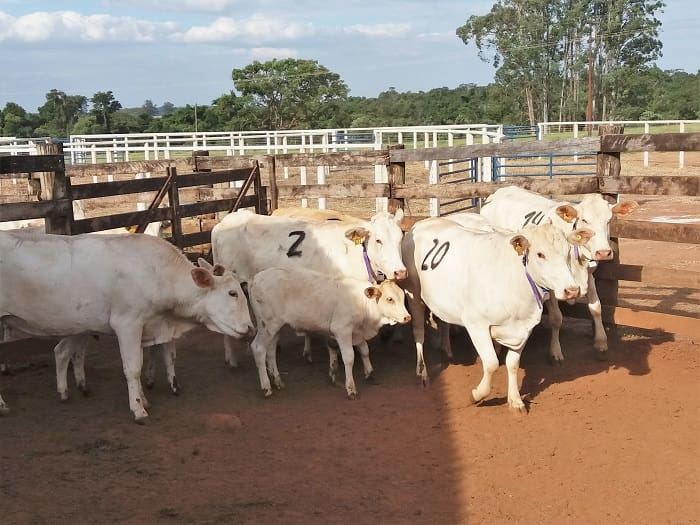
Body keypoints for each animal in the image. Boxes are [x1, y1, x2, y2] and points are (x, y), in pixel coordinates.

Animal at [0, 231, 255, 421]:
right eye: (232, 293)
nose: (251, 329)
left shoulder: (145, 326)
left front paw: (145, 399)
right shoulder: (127, 324)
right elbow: (132, 368)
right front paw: (138, 409)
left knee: (61, 352)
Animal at [210, 208, 407, 367]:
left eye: (400, 238)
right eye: (378, 240)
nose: (400, 272)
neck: (354, 253)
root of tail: (226, 221)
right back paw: (231, 359)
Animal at [248, 267, 411, 399]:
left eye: (403, 297)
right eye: (389, 299)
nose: (407, 317)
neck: (363, 303)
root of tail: (256, 278)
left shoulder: (356, 332)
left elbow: (364, 350)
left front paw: (369, 372)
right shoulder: (342, 330)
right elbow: (349, 358)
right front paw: (351, 388)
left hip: (275, 328)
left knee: (270, 351)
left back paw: (278, 381)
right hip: (267, 325)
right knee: (259, 349)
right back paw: (266, 387)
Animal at [402, 217, 592, 411]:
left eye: (568, 252)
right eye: (540, 254)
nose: (572, 290)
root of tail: (423, 222)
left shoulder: (524, 327)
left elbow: (513, 364)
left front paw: (515, 400)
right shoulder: (476, 324)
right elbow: (491, 364)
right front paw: (476, 395)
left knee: (443, 322)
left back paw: (446, 350)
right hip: (413, 295)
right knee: (418, 332)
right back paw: (422, 372)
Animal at [480, 186, 638, 361]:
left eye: (608, 220)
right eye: (585, 220)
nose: (603, 252)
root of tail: (499, 192)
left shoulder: (589, 275)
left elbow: (596, 308)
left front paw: (601, 342)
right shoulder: (552, 287)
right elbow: (556, 318)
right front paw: (555, 351)